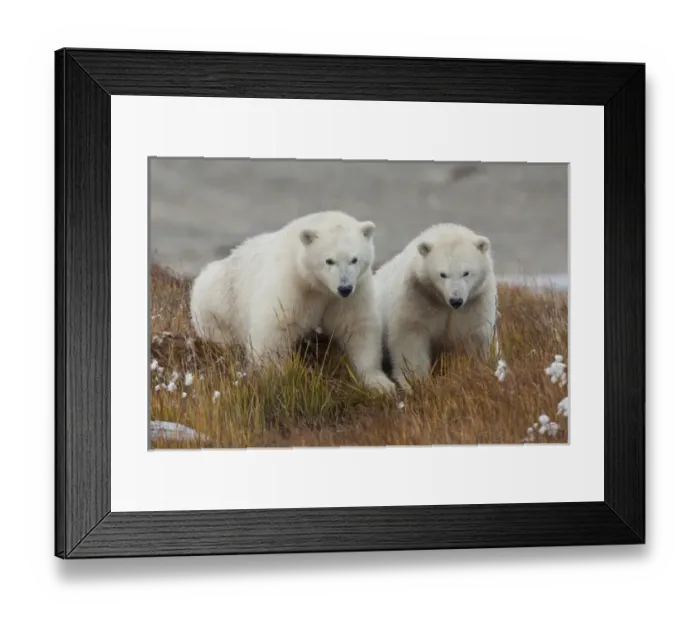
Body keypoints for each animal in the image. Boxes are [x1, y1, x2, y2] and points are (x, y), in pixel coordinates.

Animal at [189, 210, 396, 395]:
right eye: (329, 260)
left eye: (354, 259)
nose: (344, 287)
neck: (318, 286)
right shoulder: (291, 283)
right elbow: (275, 328)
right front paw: (277, 377)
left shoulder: (352, 293)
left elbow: (357, 327)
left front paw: (380, 383)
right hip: (217, 300)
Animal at [373, 222, 499, 392]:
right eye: (442, 274)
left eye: (466, 273)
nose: (456, 300)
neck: (443, 302)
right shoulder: (418, 295)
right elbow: (411, 336)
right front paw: (415, 381)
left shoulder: (474, 302)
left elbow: (472, 336)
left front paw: (469, 374)